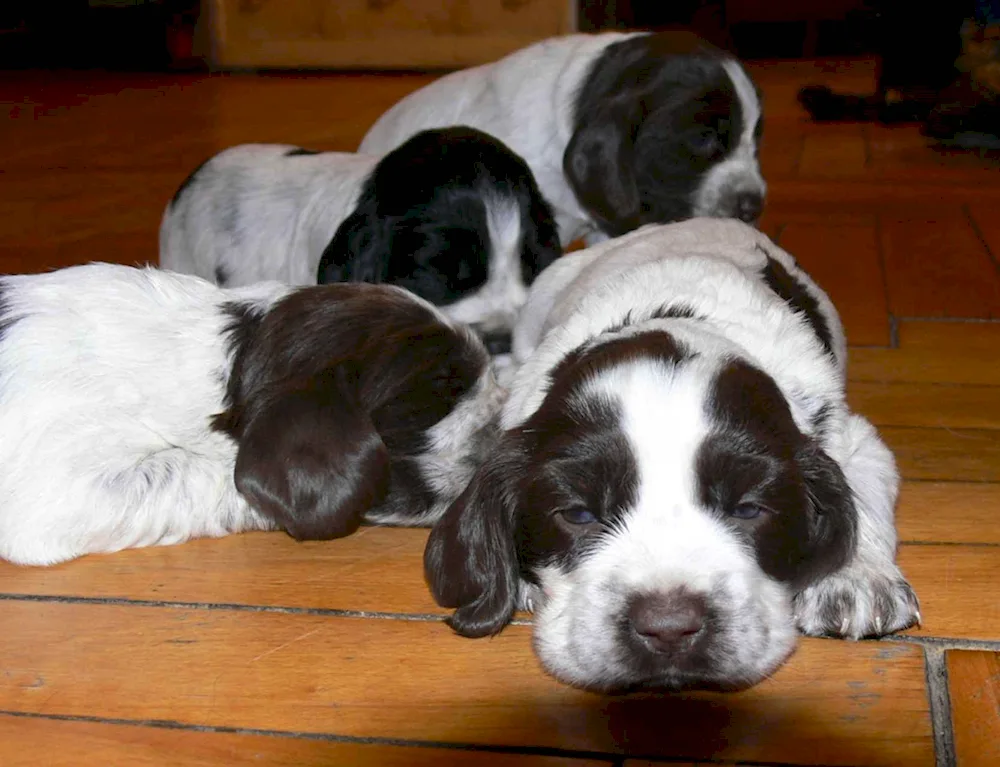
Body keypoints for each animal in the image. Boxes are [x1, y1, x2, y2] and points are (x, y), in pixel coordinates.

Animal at [424, 218, 920, 696]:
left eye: (748, 509)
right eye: (578, 514)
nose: (667, 628)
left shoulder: (851, 437)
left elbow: (859, 493)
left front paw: (854, 579)